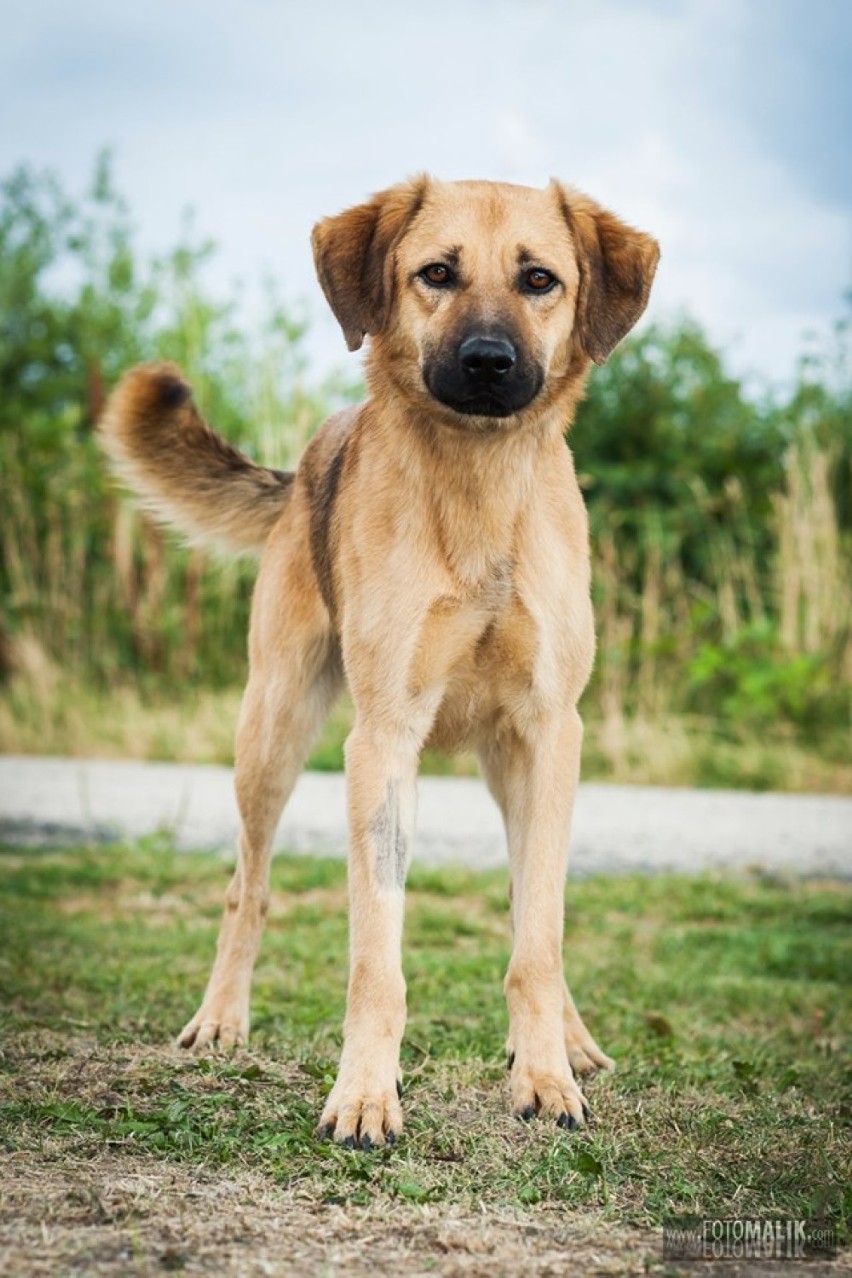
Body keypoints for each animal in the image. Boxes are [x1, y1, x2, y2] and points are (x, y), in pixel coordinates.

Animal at [100, 172, 659, 1150]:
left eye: (540, 280)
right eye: (436, 273)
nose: (487, 362)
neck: (478, 493)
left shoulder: (551, 734)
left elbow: (539, 936)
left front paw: (546, 1074)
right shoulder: (383, 742)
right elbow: (376, 960)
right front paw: (365, 1093)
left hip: (512, 769)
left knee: (531, 904)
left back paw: (569, 1040)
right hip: (272, 733)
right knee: (247, 887)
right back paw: (221, 1019)